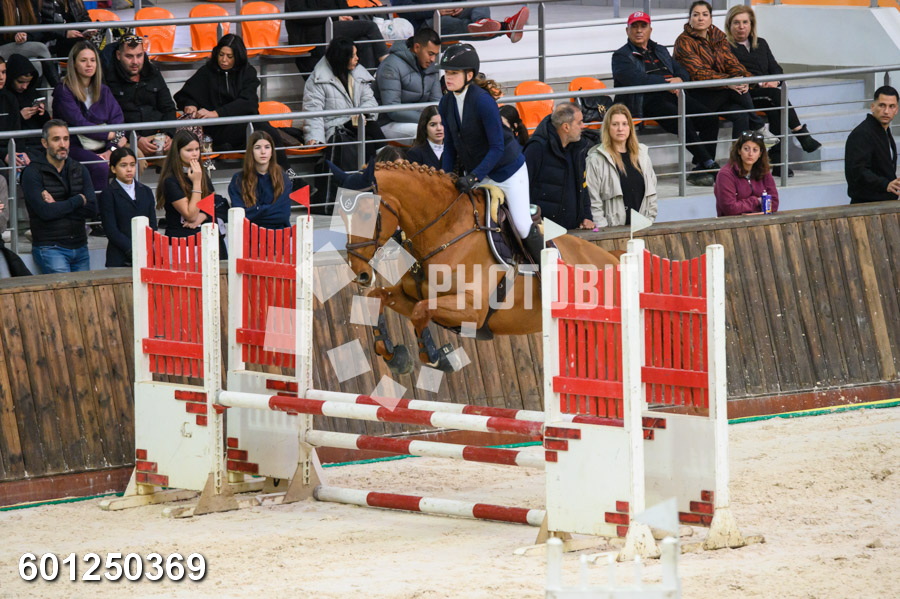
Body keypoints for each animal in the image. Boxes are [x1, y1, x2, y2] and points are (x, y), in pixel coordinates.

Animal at [337, 160, 620, 375]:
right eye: (340, 215)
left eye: (366, 214)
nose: (360, 274)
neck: (445, 231)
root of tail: (612, 258)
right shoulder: (410, 296)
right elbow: (379, 298)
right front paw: (394, 356)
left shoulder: (472, 310)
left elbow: (420, 311)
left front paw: (436, 357)